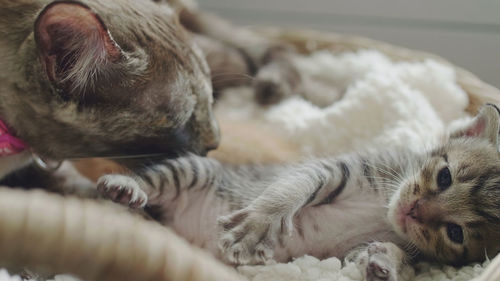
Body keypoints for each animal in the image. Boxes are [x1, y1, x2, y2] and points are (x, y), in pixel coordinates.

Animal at [97, 103, 500, 280]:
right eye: (445, 176)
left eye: (455, 233)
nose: (413, 210)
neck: (384, 206)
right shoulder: (341, 167)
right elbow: (292, 187)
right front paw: (258, 224)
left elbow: (383, 254)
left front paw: (386, 263)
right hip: (196, 169)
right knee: (155, 181)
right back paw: (127, 187)